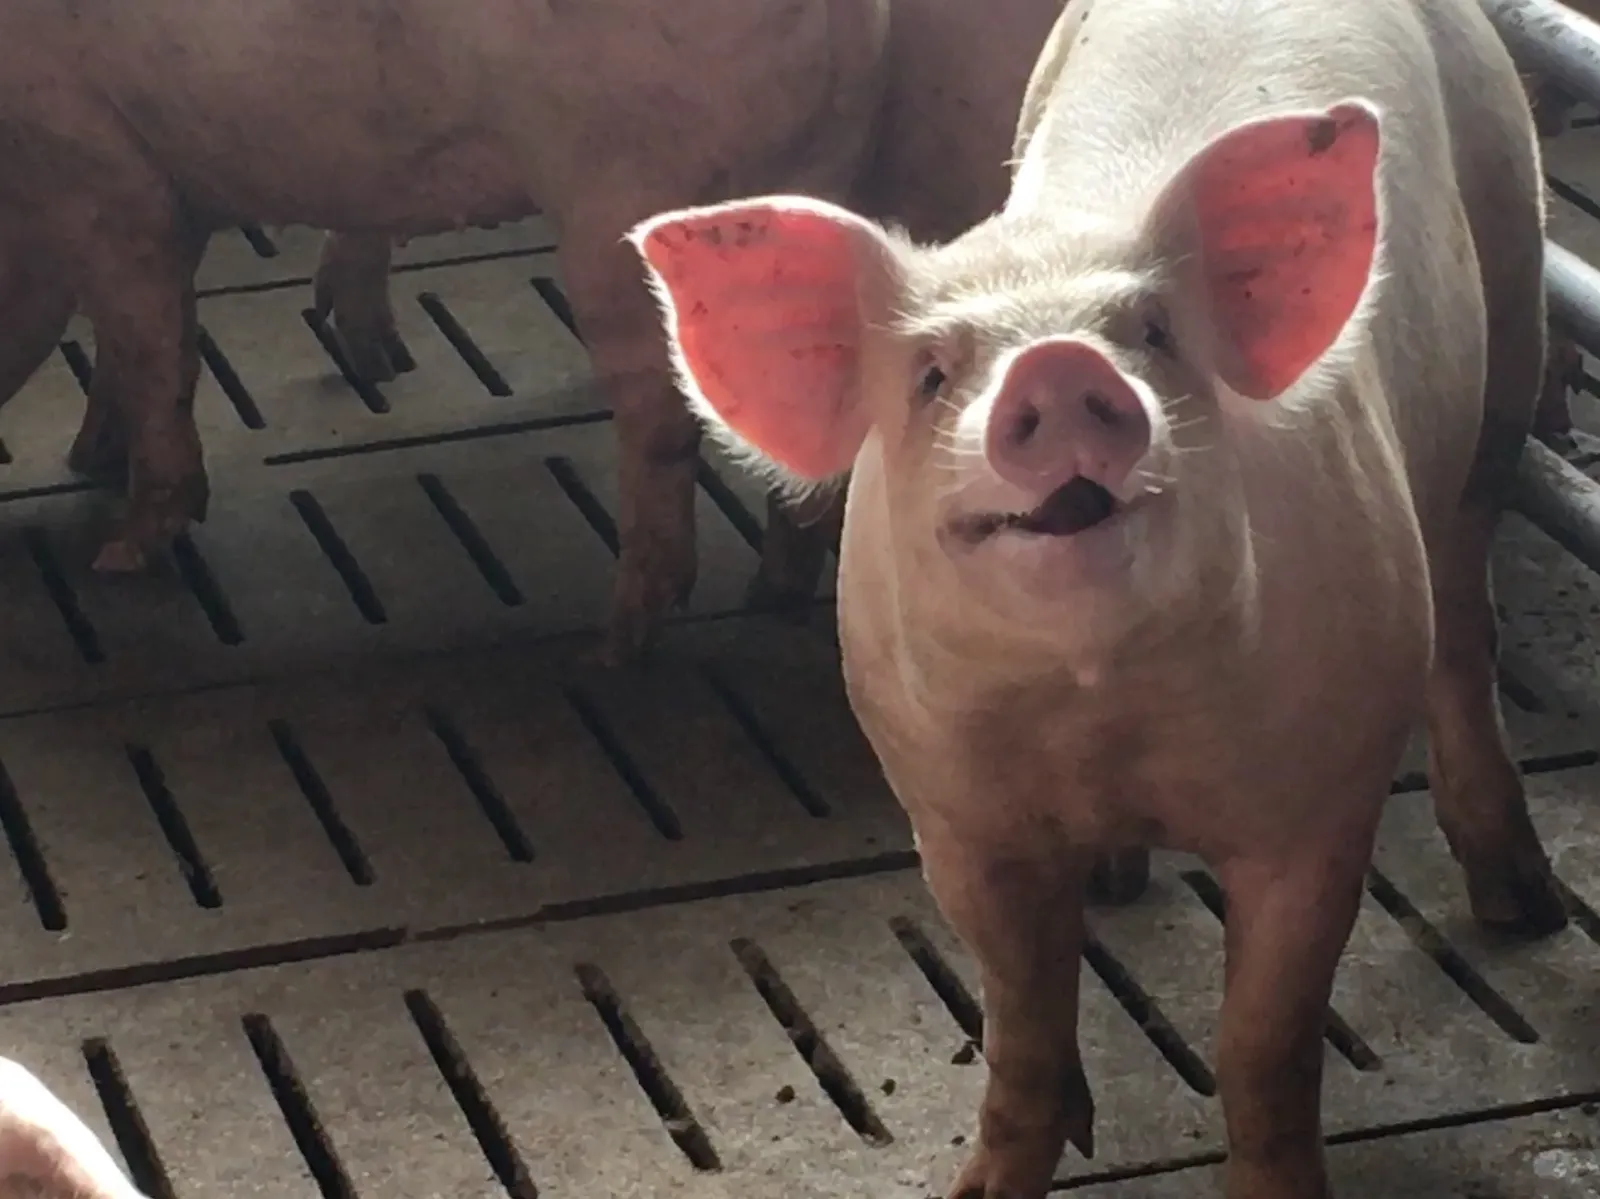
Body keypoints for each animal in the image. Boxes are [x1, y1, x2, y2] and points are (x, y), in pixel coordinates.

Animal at [630, 0, 1567, 1194]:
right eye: (932, 374)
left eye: (1155, 334)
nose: (1061, 366)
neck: (1096, 709)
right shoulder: (955, 816)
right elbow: (1021, 1032)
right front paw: (983, 1184)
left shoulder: (1321, 803)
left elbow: (1261, 1046)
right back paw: (1120, 881)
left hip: (1510, 305)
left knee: (1464, 620)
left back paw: (1525, 905)